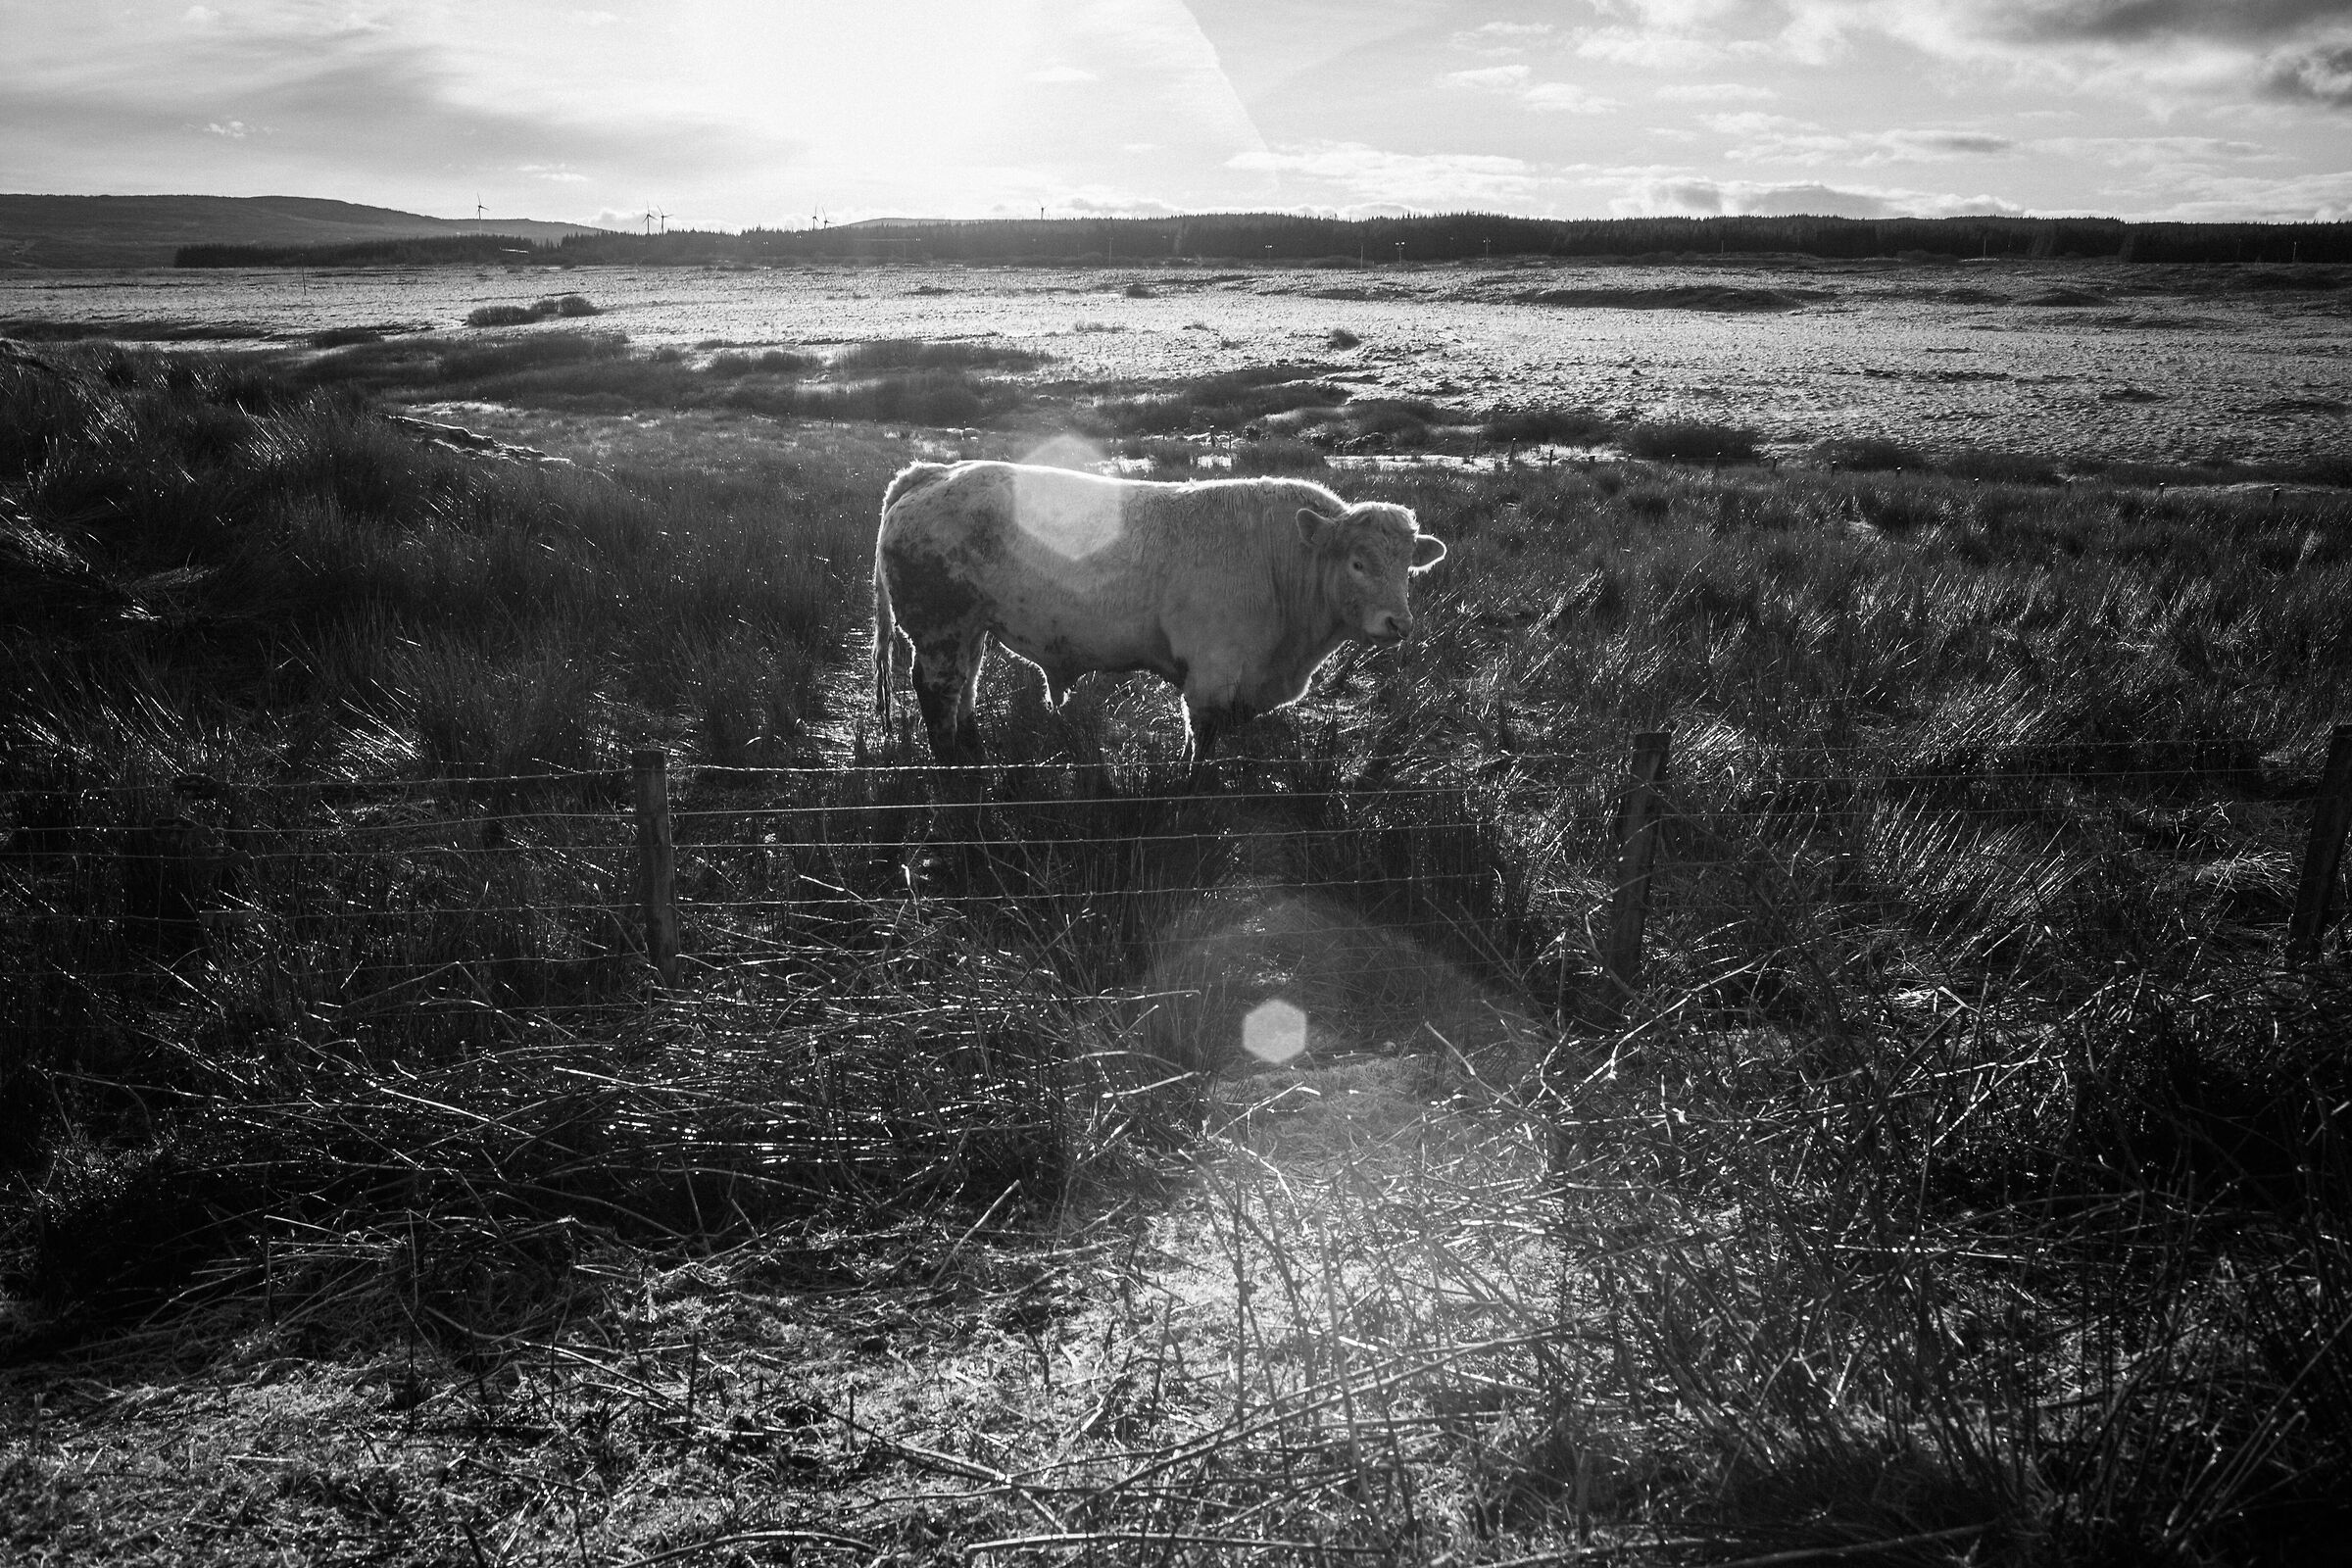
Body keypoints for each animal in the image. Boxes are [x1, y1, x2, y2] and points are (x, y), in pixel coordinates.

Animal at [872, 460, 1446, 769]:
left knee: (965, 691)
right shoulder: (1212, 675)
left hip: (971, 631)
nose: (1399, 624)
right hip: (940, 631)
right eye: (1357, 562)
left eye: (1407, 567)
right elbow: (1199, 746)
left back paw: (975, 757)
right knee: (938, 693)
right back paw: (954, 770)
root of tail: (934, 473)